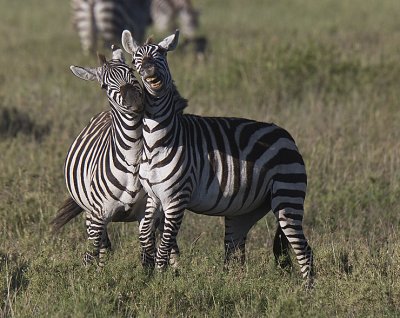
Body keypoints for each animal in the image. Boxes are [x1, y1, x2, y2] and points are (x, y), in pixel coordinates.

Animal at [51, 46, 180, 266]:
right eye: (104, 86)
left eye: (132, 71)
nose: (135, 101)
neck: (133, 158)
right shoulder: (99, 214)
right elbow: (92, 250)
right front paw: (88, 275)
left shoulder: (147, 210)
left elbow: (147, 246)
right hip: (90, 212)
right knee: (102, 246)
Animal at [120, 29, 314, 284]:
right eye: (136, 60)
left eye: (162, 53)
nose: (149, 70)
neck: (156, 142)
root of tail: (286, 135)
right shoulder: (154, 196)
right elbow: (145, 236)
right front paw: (147, 273)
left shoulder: (177, 198)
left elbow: (165, 246)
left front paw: (160, 282)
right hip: (245, 212)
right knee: (235, 253)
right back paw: (232, 285)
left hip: (287, 195)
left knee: (303, 248)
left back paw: (308, 290)